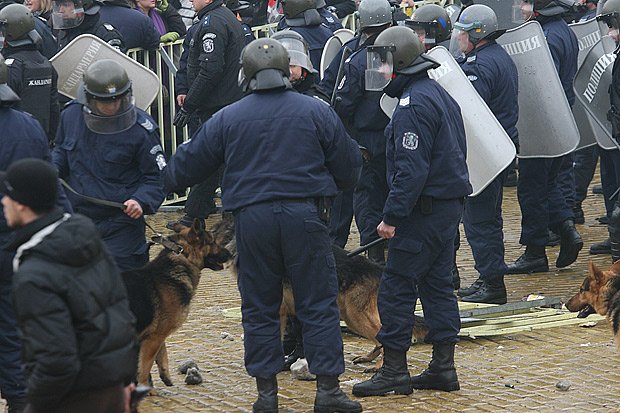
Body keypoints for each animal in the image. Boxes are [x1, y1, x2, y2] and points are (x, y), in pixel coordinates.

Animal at [120, 220, 230, 384]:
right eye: (212, 242)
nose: (230, 254)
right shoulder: (153, 339)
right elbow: (144, 370)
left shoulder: (157, 336)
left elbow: (162, 352)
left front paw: (165, 374)